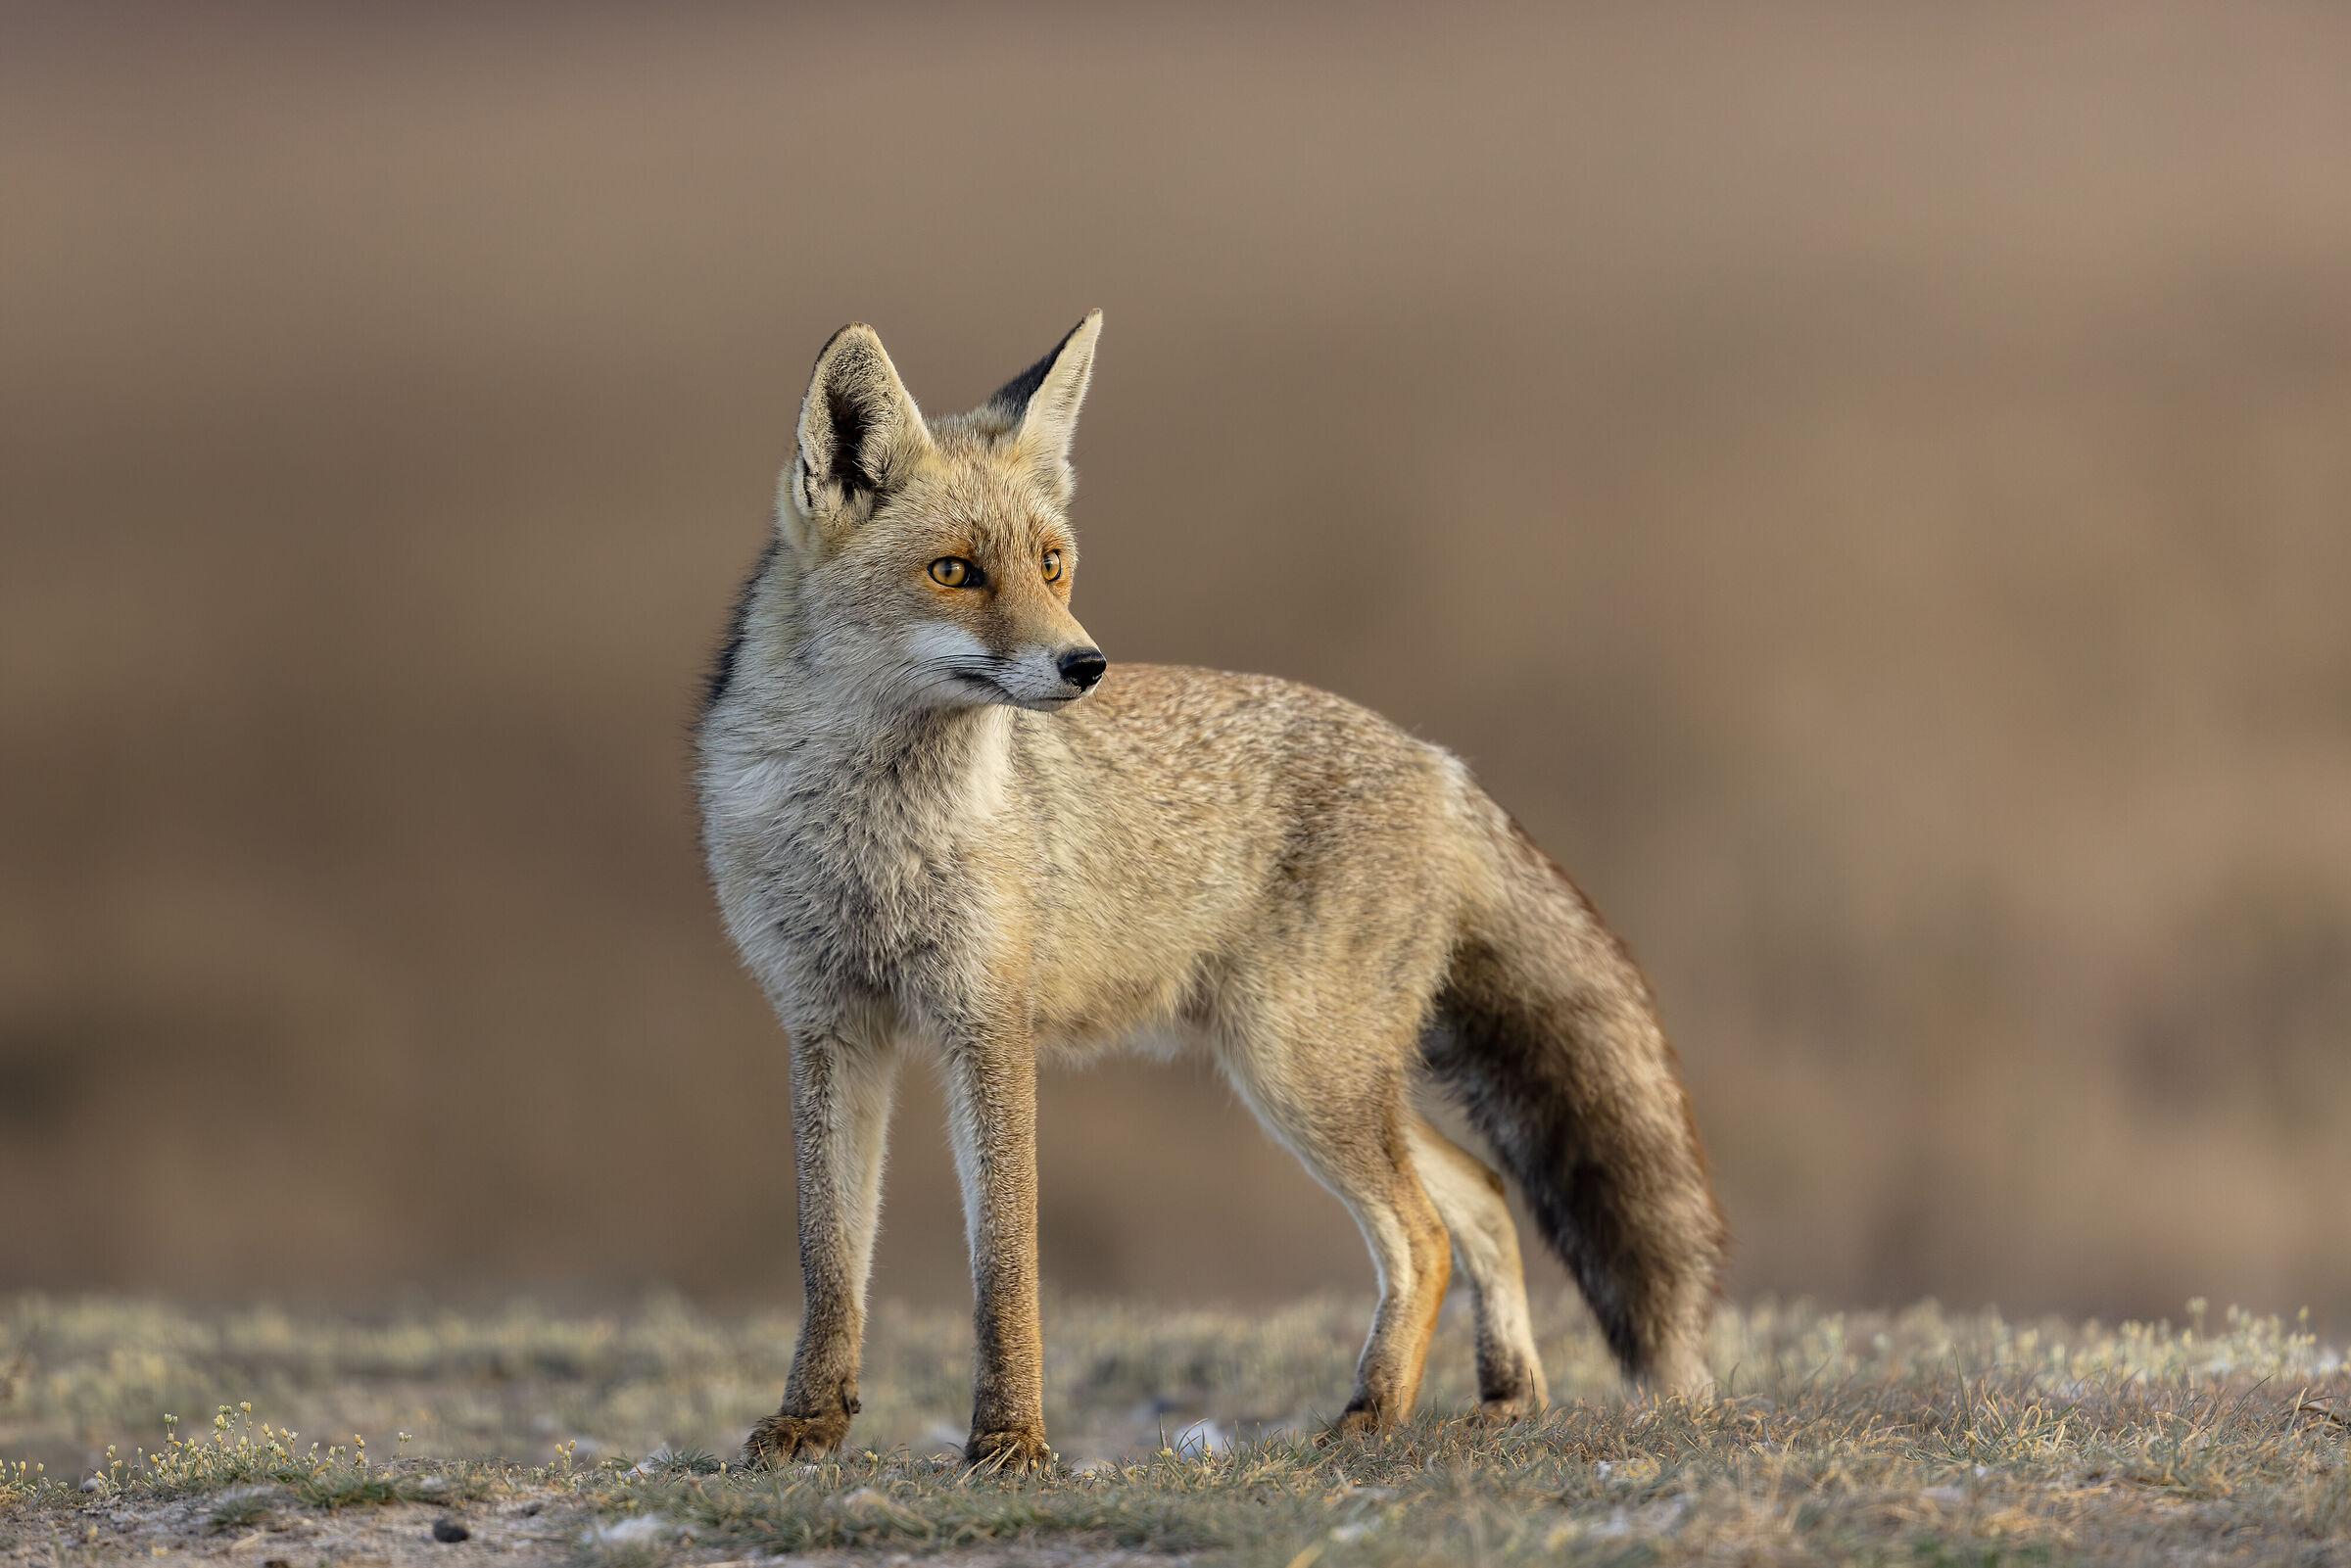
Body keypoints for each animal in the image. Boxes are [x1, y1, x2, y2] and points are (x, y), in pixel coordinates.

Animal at [696, 311, 1727, 1470]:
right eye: (954, 570)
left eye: (1052, 564)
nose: (1085, 664)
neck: (871, 836)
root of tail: (1439, 762)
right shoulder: (829, 1024)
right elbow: (830, 1260)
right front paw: (809, 1422)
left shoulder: (987, 1024)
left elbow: (1005, 1267)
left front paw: (1011, 1442)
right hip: (1318, 1074)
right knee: (1487, 1194)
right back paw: (1507, 1395)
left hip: (1297, 1070)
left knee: (1423, 1232)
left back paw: (1374, 1411)